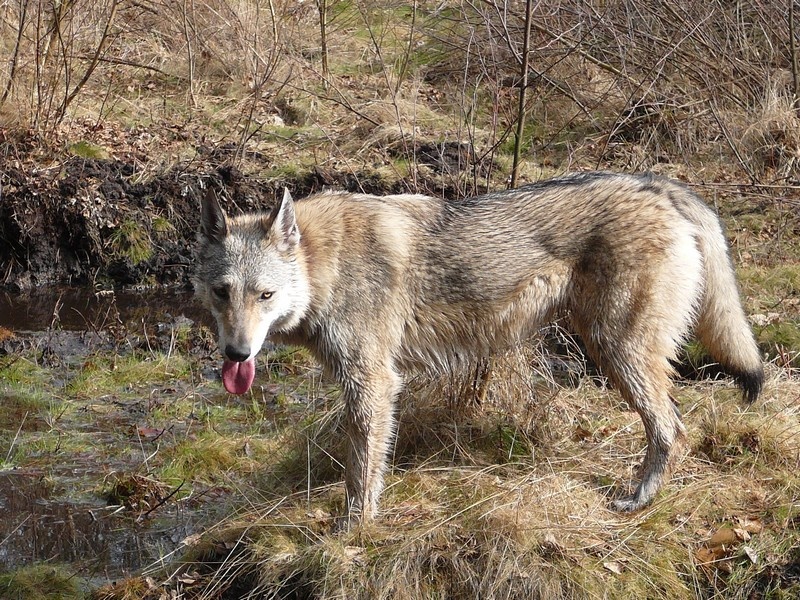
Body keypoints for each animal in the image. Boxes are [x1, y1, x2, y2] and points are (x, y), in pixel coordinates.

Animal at [194, 171, 763, 524]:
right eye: (223, 292)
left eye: (265, 295)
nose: (237, 356)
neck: (321, 264)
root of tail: (658, 184)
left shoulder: (373, 385)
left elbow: (361, 477)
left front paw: (353, 534)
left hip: (617, 352)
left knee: (672, 429)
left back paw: (638, 501)